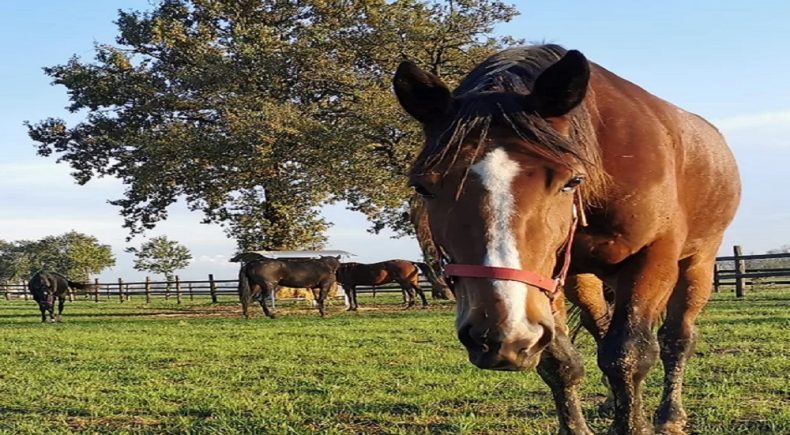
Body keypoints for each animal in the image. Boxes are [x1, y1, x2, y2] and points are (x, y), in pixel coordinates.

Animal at [396, 45, 744, 435]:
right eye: (423, 187)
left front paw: (635, 423)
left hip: (697, 263)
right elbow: (560, 362)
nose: (500, 334)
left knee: (676, 340)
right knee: (602, 330)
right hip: (585, 278)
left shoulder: (654, 258)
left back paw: (670, 415)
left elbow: (629, 354)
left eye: (571, 181)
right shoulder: (550, 281)